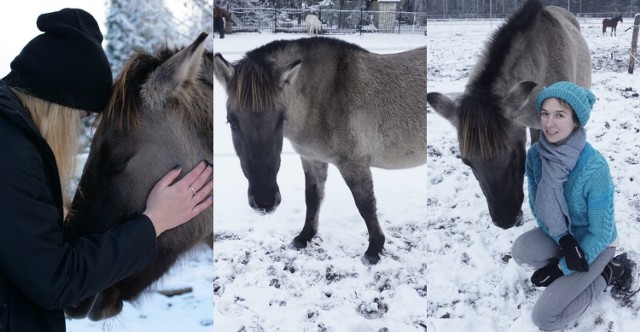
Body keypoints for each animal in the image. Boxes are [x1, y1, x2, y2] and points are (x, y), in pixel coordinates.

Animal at [212, 37, 428, 264]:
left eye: (280, 120)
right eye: (231, 122)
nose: (265, 201)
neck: (327, 95)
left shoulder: (354, 163)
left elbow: (365, 205)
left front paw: (374, 249)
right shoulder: (311, 159)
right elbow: (313, 197)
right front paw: (304, 237)